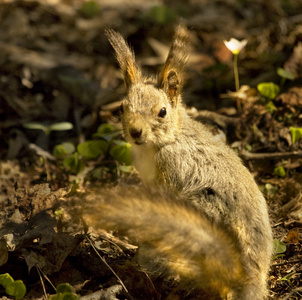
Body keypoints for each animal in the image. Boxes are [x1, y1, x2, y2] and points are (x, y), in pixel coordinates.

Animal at [84, 26, 274, 300]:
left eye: (162, 112)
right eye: (121, 107)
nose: (135, 132)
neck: (167, 140)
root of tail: (251, 277)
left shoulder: (171, 170)